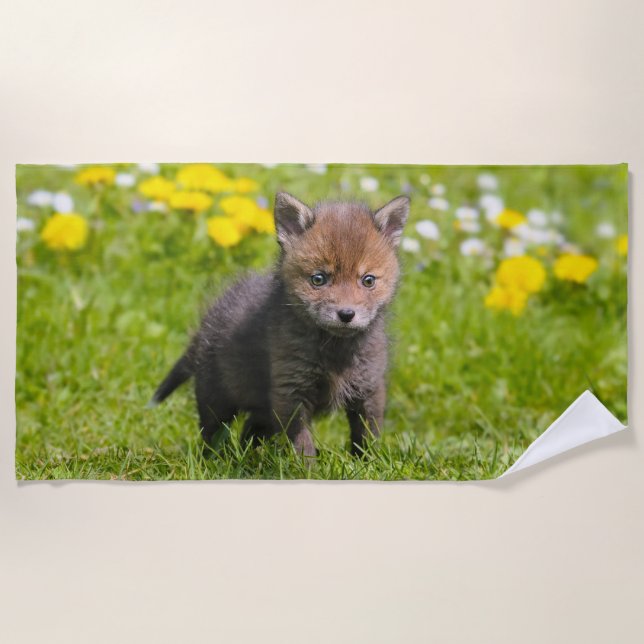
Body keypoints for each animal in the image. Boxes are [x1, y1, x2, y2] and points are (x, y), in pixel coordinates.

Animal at [150, 191, 410, 457]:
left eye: (368, 280)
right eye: (318, 279)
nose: (346, 314)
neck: (335, 352)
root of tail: (205, 324)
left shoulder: (369, 388)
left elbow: (366, 437)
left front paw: (367, 462)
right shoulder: (290, 391)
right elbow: (303, 443)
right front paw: (308, 467)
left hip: (261, 409)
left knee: (249, 430)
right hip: (217, 399)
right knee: (212, 434)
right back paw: (215, 459)